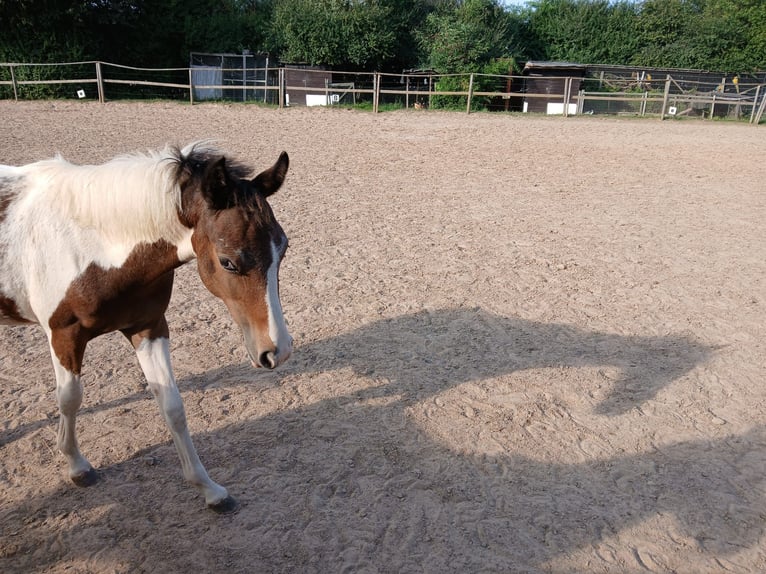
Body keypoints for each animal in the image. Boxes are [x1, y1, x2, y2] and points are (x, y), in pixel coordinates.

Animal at [0, 144, 294, 512]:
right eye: (228, 261)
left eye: (283, 247)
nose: (277, 350)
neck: (89, 247)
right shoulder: (63, 334)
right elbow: (69, 398)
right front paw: (77, 466)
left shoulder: (149, 327)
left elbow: (173, 406)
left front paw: (210, 489)